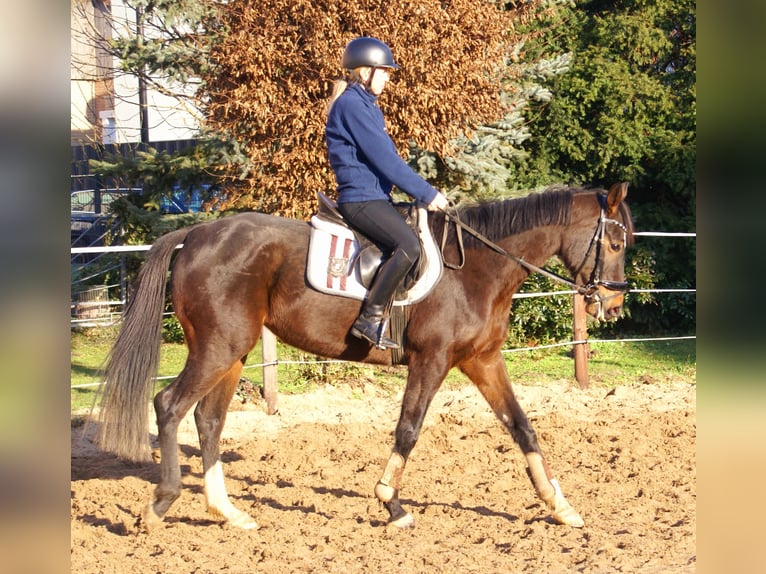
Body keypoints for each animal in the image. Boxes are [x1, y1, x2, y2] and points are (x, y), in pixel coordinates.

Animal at [97, 182, 633, 532]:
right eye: (614, 240)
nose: (613, 304)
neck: (479, 269)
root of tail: (196, 235)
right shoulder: (432, 360)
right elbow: (409, 428)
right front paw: (391, 505)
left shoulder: (482, 361)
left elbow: (522, 427)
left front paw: (559, 506)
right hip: (218, 348)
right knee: (169, 406)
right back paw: (160, 505)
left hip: (232, 353)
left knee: (208, 421)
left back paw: (228, 513)